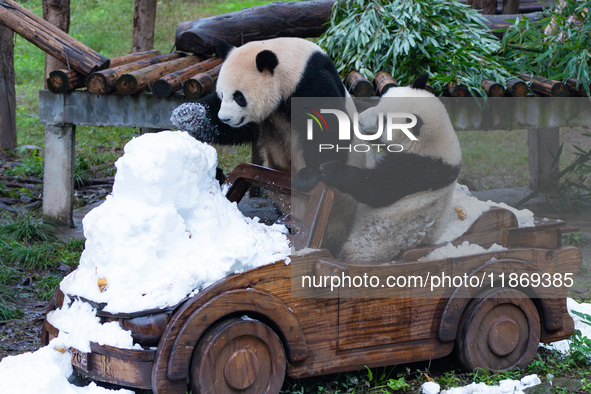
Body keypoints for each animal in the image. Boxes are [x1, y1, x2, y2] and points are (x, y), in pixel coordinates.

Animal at [316, 75, 464, 264]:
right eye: (379, 102)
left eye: (383, 120)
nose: (360, 120)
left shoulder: (420, 170)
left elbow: (376, 189)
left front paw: (330, 169)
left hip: (374, 243)